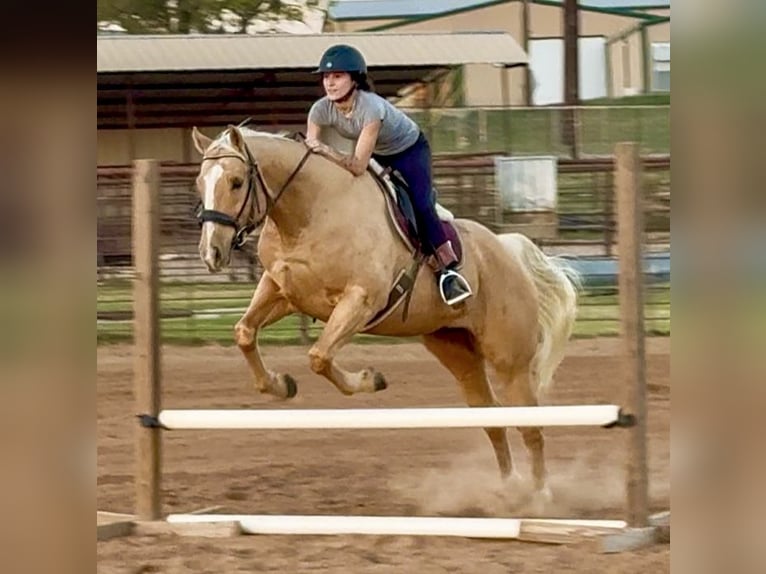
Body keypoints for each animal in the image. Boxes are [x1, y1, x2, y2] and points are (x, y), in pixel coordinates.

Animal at [190, 124, 581, 506]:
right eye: (199, 182)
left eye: (236, 181)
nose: (211, 253)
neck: (310, 212)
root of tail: (508, 250)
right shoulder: (282, 291)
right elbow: (245, 332)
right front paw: (281, 385)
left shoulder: (360, 301)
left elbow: (318, 356)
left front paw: (371, 379)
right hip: (457, 351)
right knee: (493, 418)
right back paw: (509, 489)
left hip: (509, 361)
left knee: (529, 424)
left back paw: (540, 495)